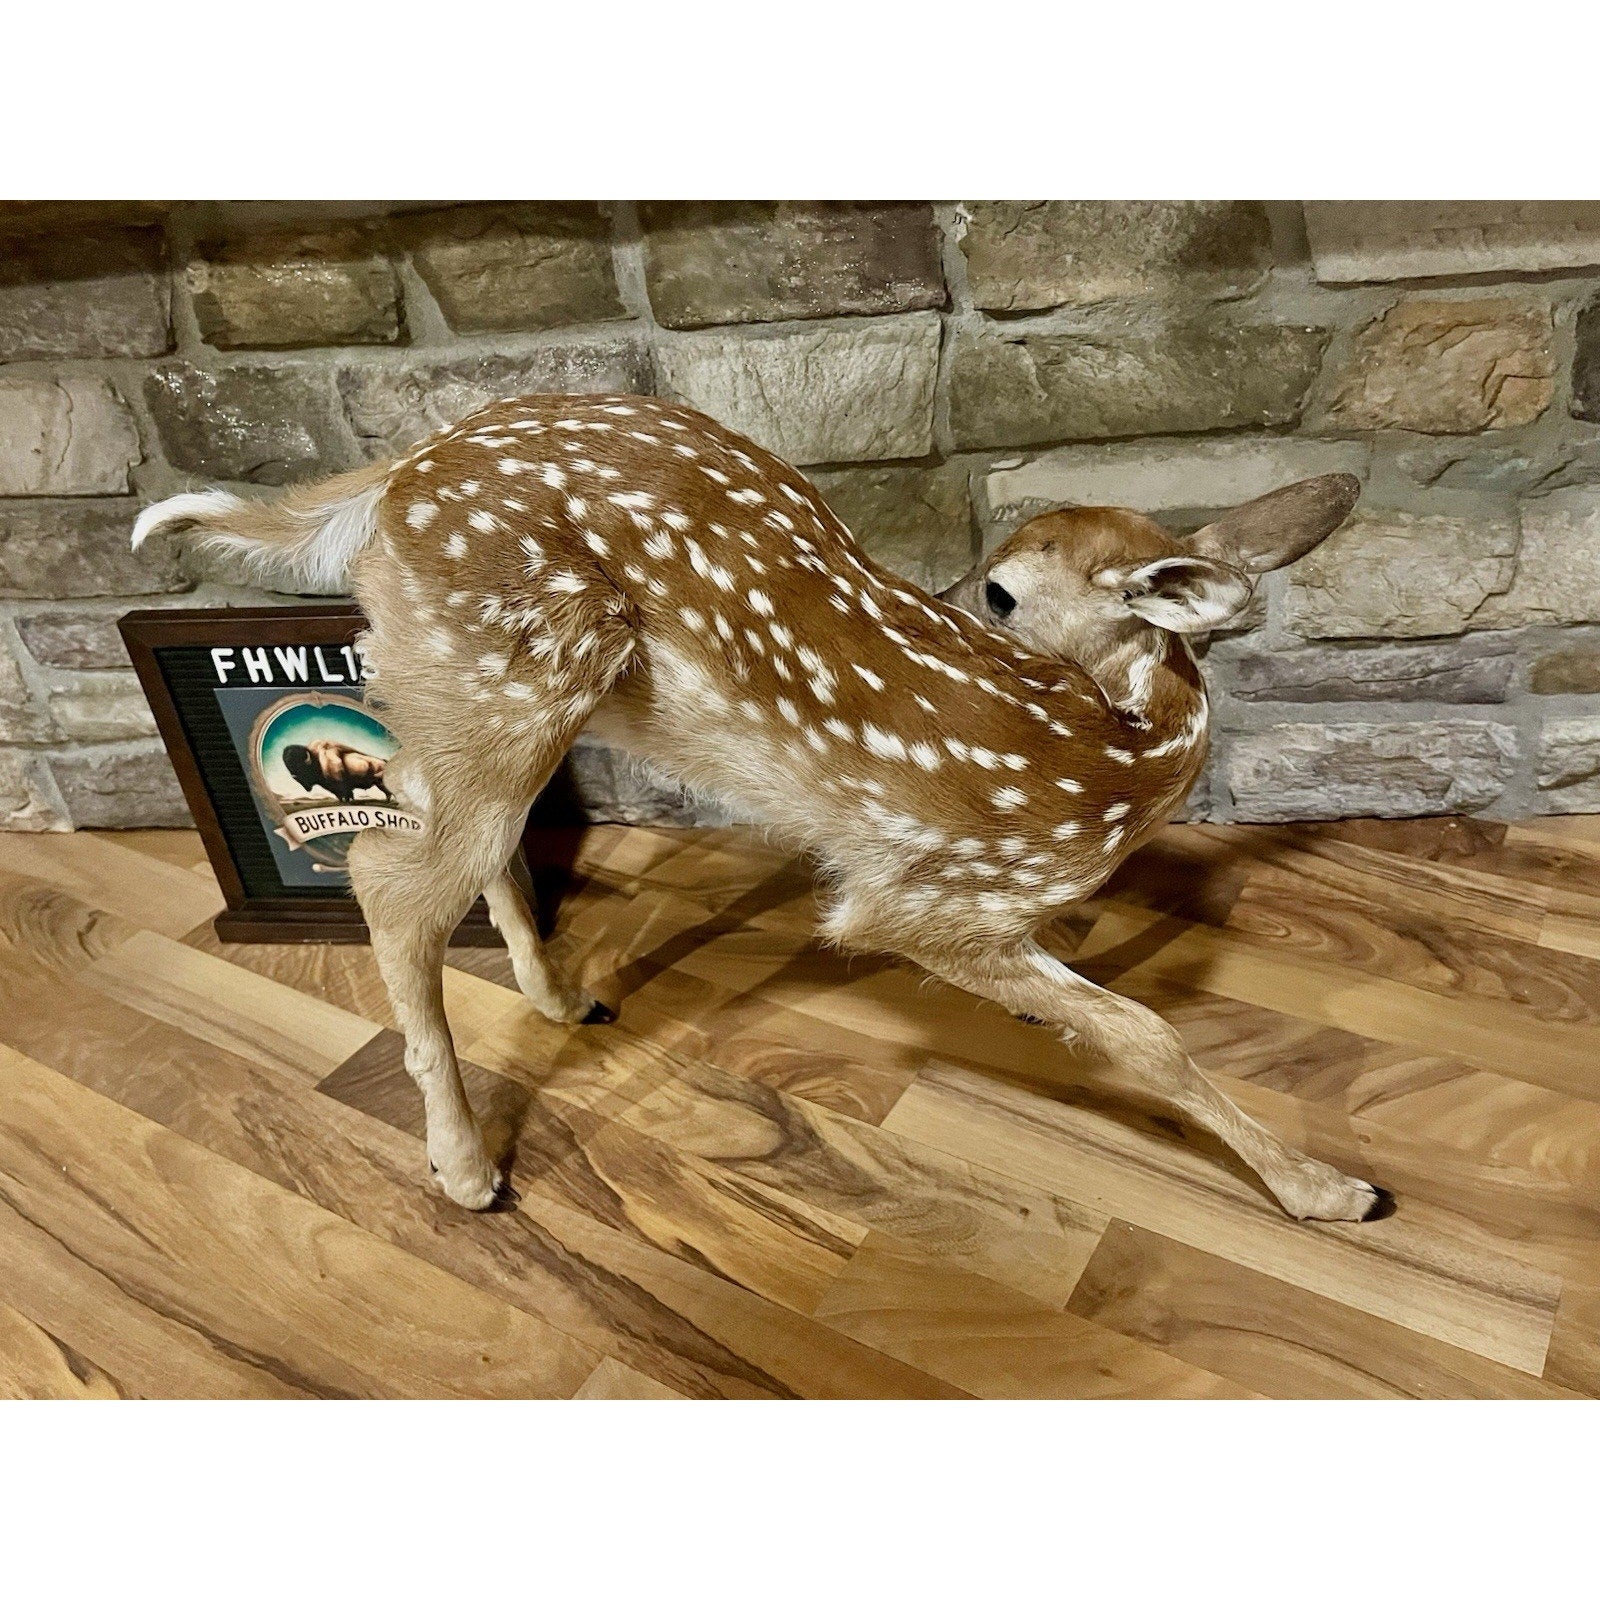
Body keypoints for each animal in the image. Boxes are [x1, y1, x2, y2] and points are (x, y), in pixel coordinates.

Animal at [133, 392, 1388, 1224]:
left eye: (999, 593)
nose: (940, 595)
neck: (1115, 760)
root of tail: (403, 469)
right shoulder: (925, 897)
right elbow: (1145, 1034)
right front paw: (1330, 1189)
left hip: (479, 687)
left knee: (451, 842)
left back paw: (562, 999)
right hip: (514, 670)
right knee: (388, 882)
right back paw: (468, 1170)